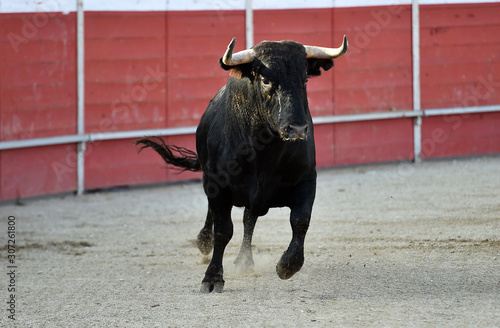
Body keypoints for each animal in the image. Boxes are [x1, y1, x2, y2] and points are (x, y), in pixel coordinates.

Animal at [136, 35, 348, 292]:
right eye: (266, 80)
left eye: (305, 79)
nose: (297, 128)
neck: (264, 152)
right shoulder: (218, 185)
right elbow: (223, 230)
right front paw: (212, 278)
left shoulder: (306, 179)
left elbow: (300, 220)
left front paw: (288, 265)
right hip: (210, 180)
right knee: (217, 216)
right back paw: (204, 241)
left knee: (250, 219)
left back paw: (244, 260)